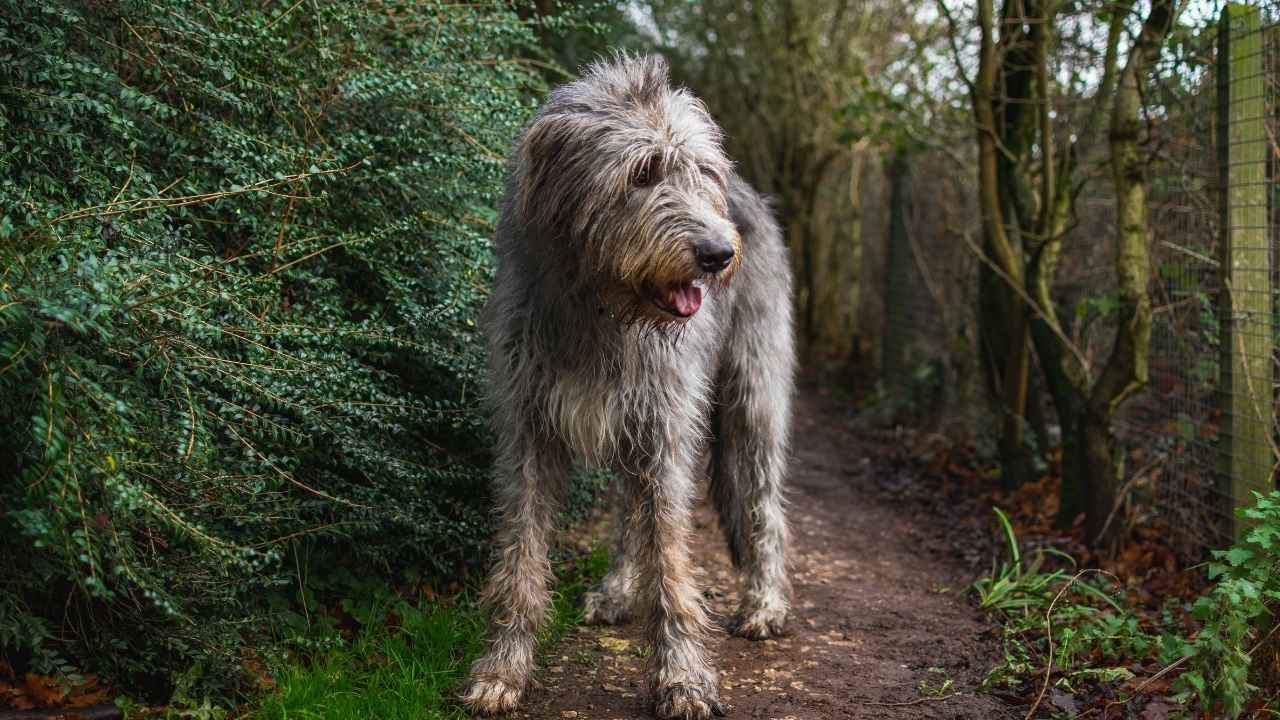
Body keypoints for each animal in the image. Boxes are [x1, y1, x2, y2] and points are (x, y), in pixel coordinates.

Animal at [465, 54, 793, 717]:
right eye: (642, 173)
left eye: (701, 172)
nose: (719, 254)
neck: (601, 310)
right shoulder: (527, 429)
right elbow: (521, 554)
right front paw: (504, 667)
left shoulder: (665, 427)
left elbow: (671, 560)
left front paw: (683, 678)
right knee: (625, 509)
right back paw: (619, 589)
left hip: (754, 395)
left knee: (764, 502)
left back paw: (765, 603)